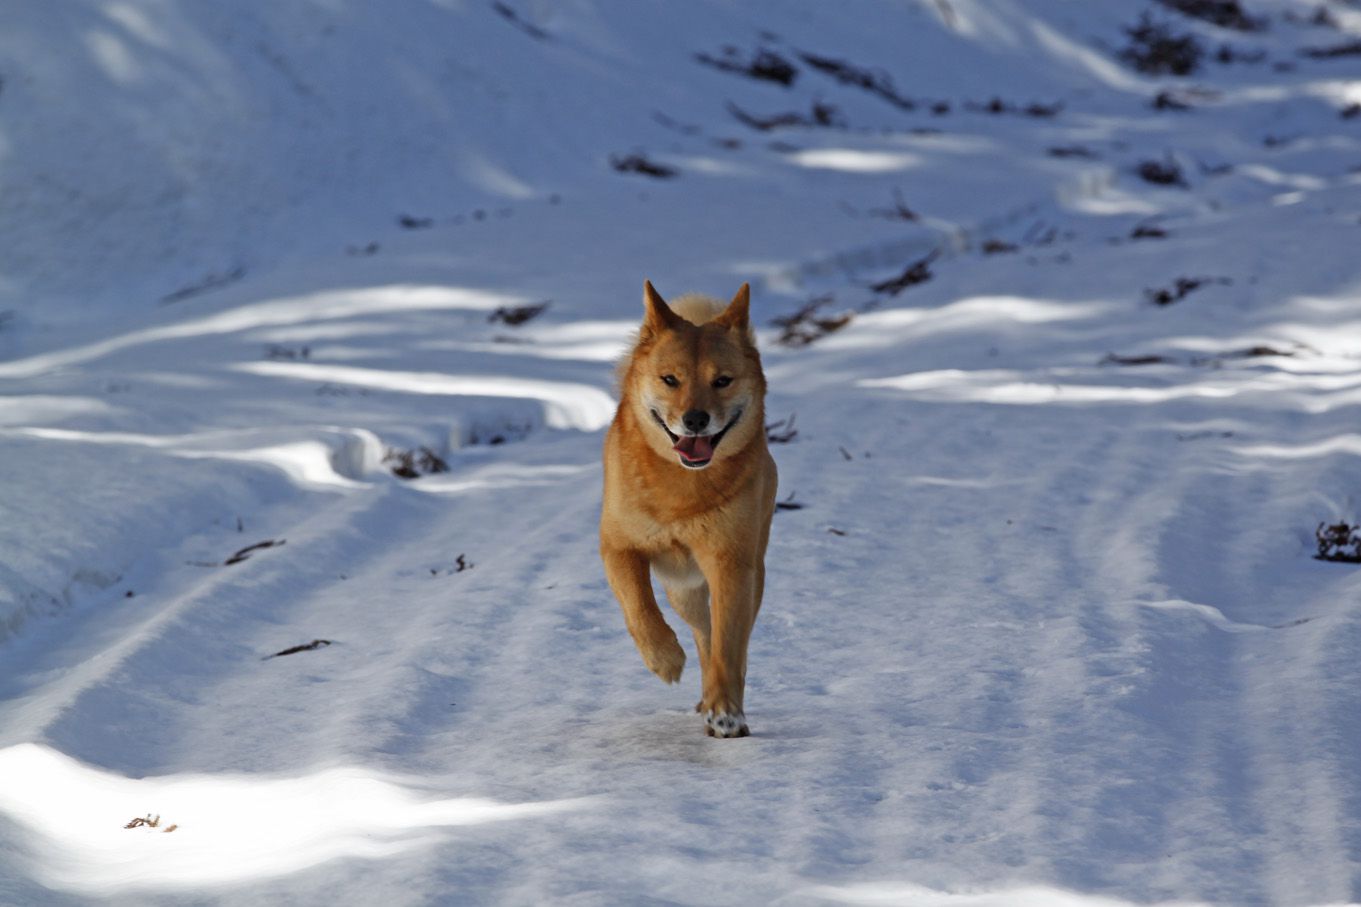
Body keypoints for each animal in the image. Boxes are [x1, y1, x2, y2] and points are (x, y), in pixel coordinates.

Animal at [604, 280, 783, 735]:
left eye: (722, 380)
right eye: (670, 380)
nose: (696, 419)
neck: (682, 488)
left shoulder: (731, 564)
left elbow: (728, 645)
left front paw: (727, 711)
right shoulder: (618, 547)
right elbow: (639, 608)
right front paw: (665, 660)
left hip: (747, 574)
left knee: (722, 640)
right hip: (682, 588)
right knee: (700, 633)